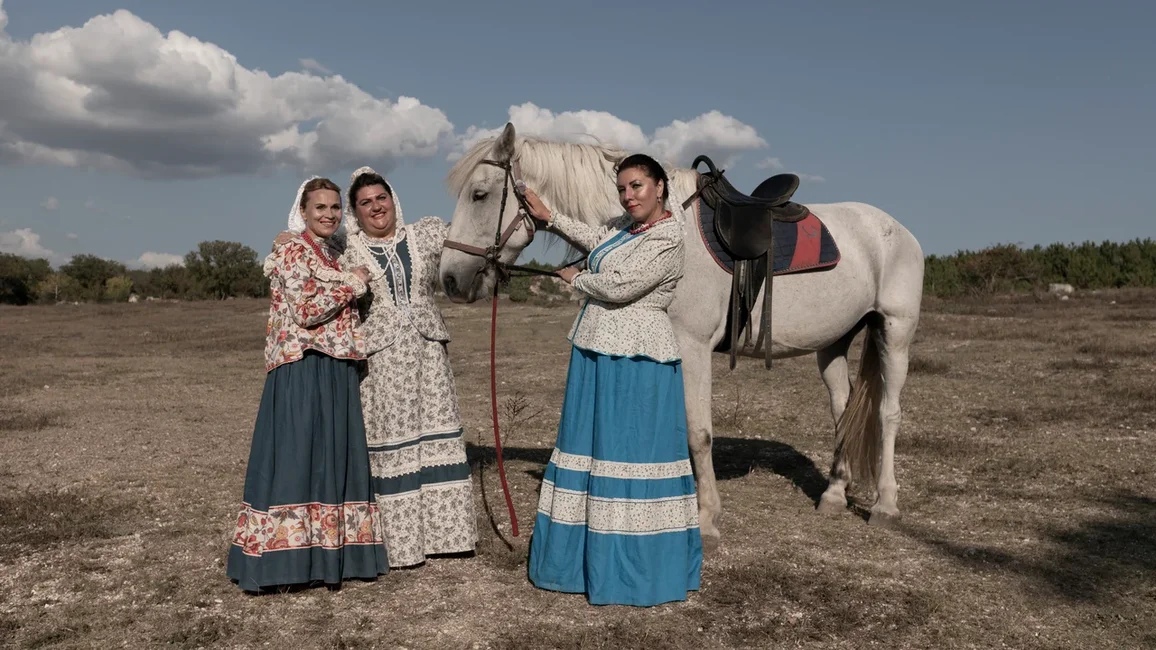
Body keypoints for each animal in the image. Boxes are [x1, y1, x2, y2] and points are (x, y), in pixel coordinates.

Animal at [436, 122, 924, 541]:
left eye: (480, 194)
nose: (451, 279)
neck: (673, 229)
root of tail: (899, 231)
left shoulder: (693, 347)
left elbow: (698, 432)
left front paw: (706, 519)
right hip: (834, 343)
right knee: (843, 409)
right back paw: (835, 495)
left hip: (894, 331)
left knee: (888, 413)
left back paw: (885, 505)